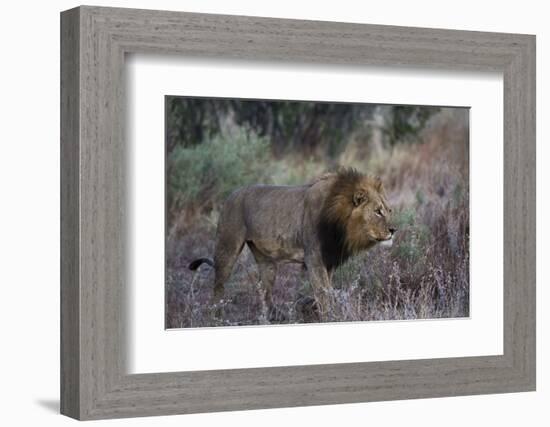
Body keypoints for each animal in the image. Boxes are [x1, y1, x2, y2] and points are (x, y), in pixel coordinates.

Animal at [190, 169, 396, 320]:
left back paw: (273, 317)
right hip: (227, 247)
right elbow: (323, 292)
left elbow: (322, 291)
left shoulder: (328, 260)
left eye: (389, 210)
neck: (341, 225)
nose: (394, 229)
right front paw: (331, 316)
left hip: (267, 262)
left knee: (263, 291)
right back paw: (216, 316)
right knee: (218, 286)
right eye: (378, 211)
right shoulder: (314, 258)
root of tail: (230, 195)